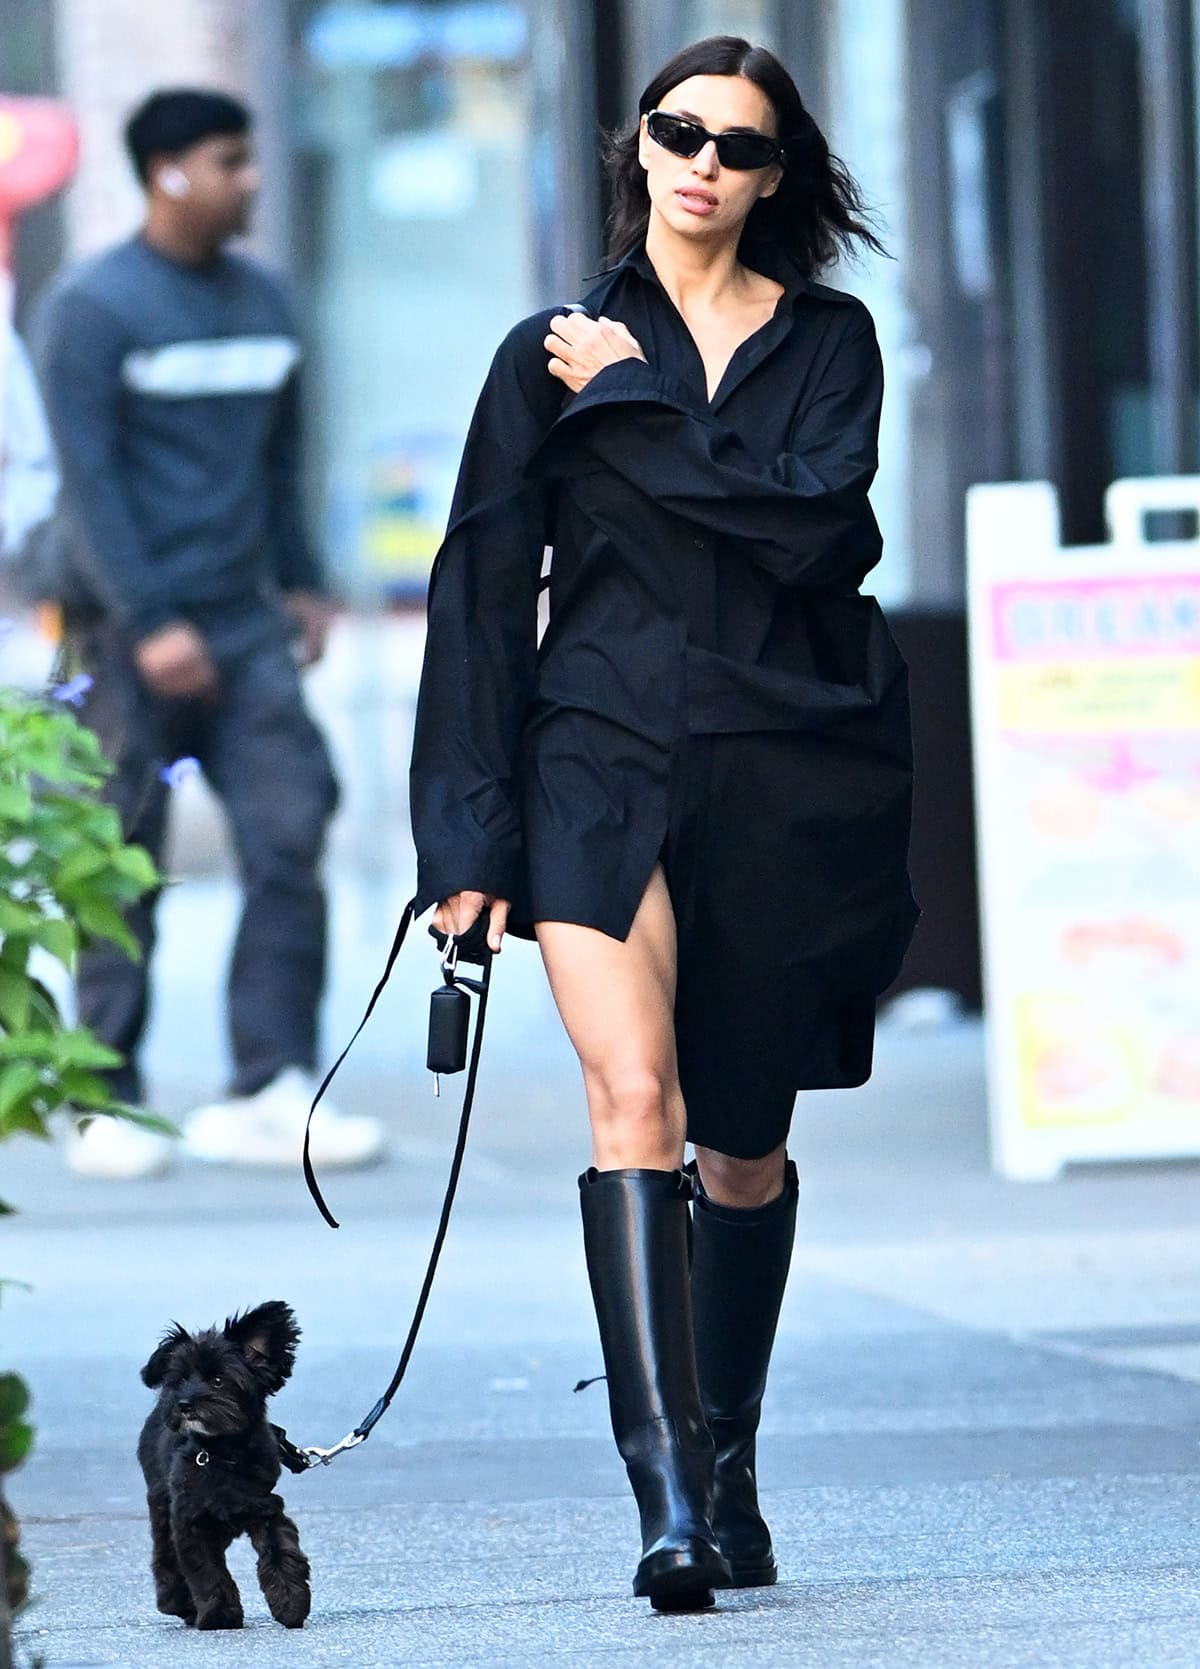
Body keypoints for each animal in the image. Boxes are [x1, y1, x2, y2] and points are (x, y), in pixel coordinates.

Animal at [135, 1288, 310, 1628]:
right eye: (180, 1379)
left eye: (218, 1380)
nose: (184, 1404)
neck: (221, 1453)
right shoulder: (189, 1521)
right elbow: (207, 1572)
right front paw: (220, 1616)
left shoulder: (266, 1506)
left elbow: (281, 1551)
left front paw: (291, 1603)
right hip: (160, 1500)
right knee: (165, 1555)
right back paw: (178, 1603)